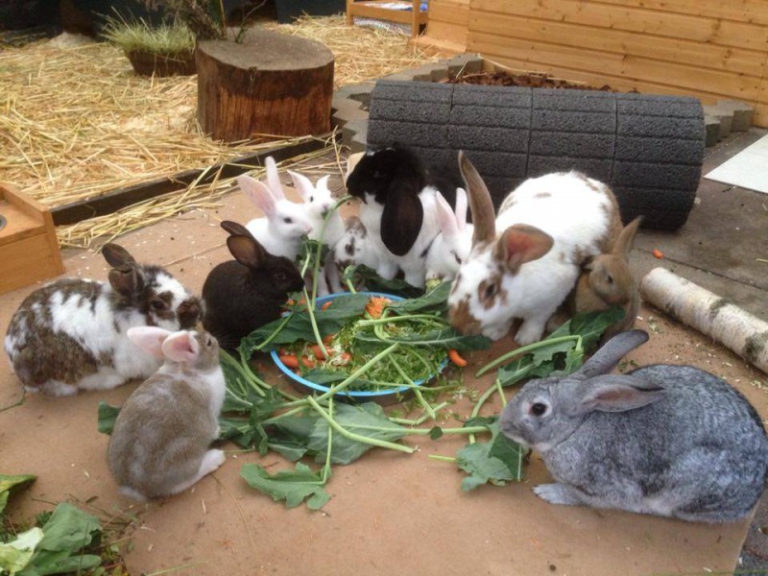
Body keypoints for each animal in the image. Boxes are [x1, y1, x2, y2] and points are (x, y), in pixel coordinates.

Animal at [107, 327, 226, 501]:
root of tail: (137, 488)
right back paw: (215, 458)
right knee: (181, 483)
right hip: (185, 453)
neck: (191, 371)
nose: (215, 338)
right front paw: (219, 431)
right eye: (209, 343)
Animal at [345, 145, 460, 289]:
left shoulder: (416, 266)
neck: (380, 210)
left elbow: (412, 282)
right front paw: (381, 281)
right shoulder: (385, 259)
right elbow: (385, 273)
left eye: (379, 173)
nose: (348, 183)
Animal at [447, 151, 622, 344]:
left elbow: (535, 320)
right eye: (459, 276)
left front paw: (525, 339)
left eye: (490, 290)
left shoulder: (550, 299)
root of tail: (596, 184)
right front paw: (495, 332)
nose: (458, 325)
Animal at [500, 329, 768, 523]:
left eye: (538, 408)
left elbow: (583, 496)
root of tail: (754, 493)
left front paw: (548, 492)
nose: (503, 424)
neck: (576, 428)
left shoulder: (607, 487)